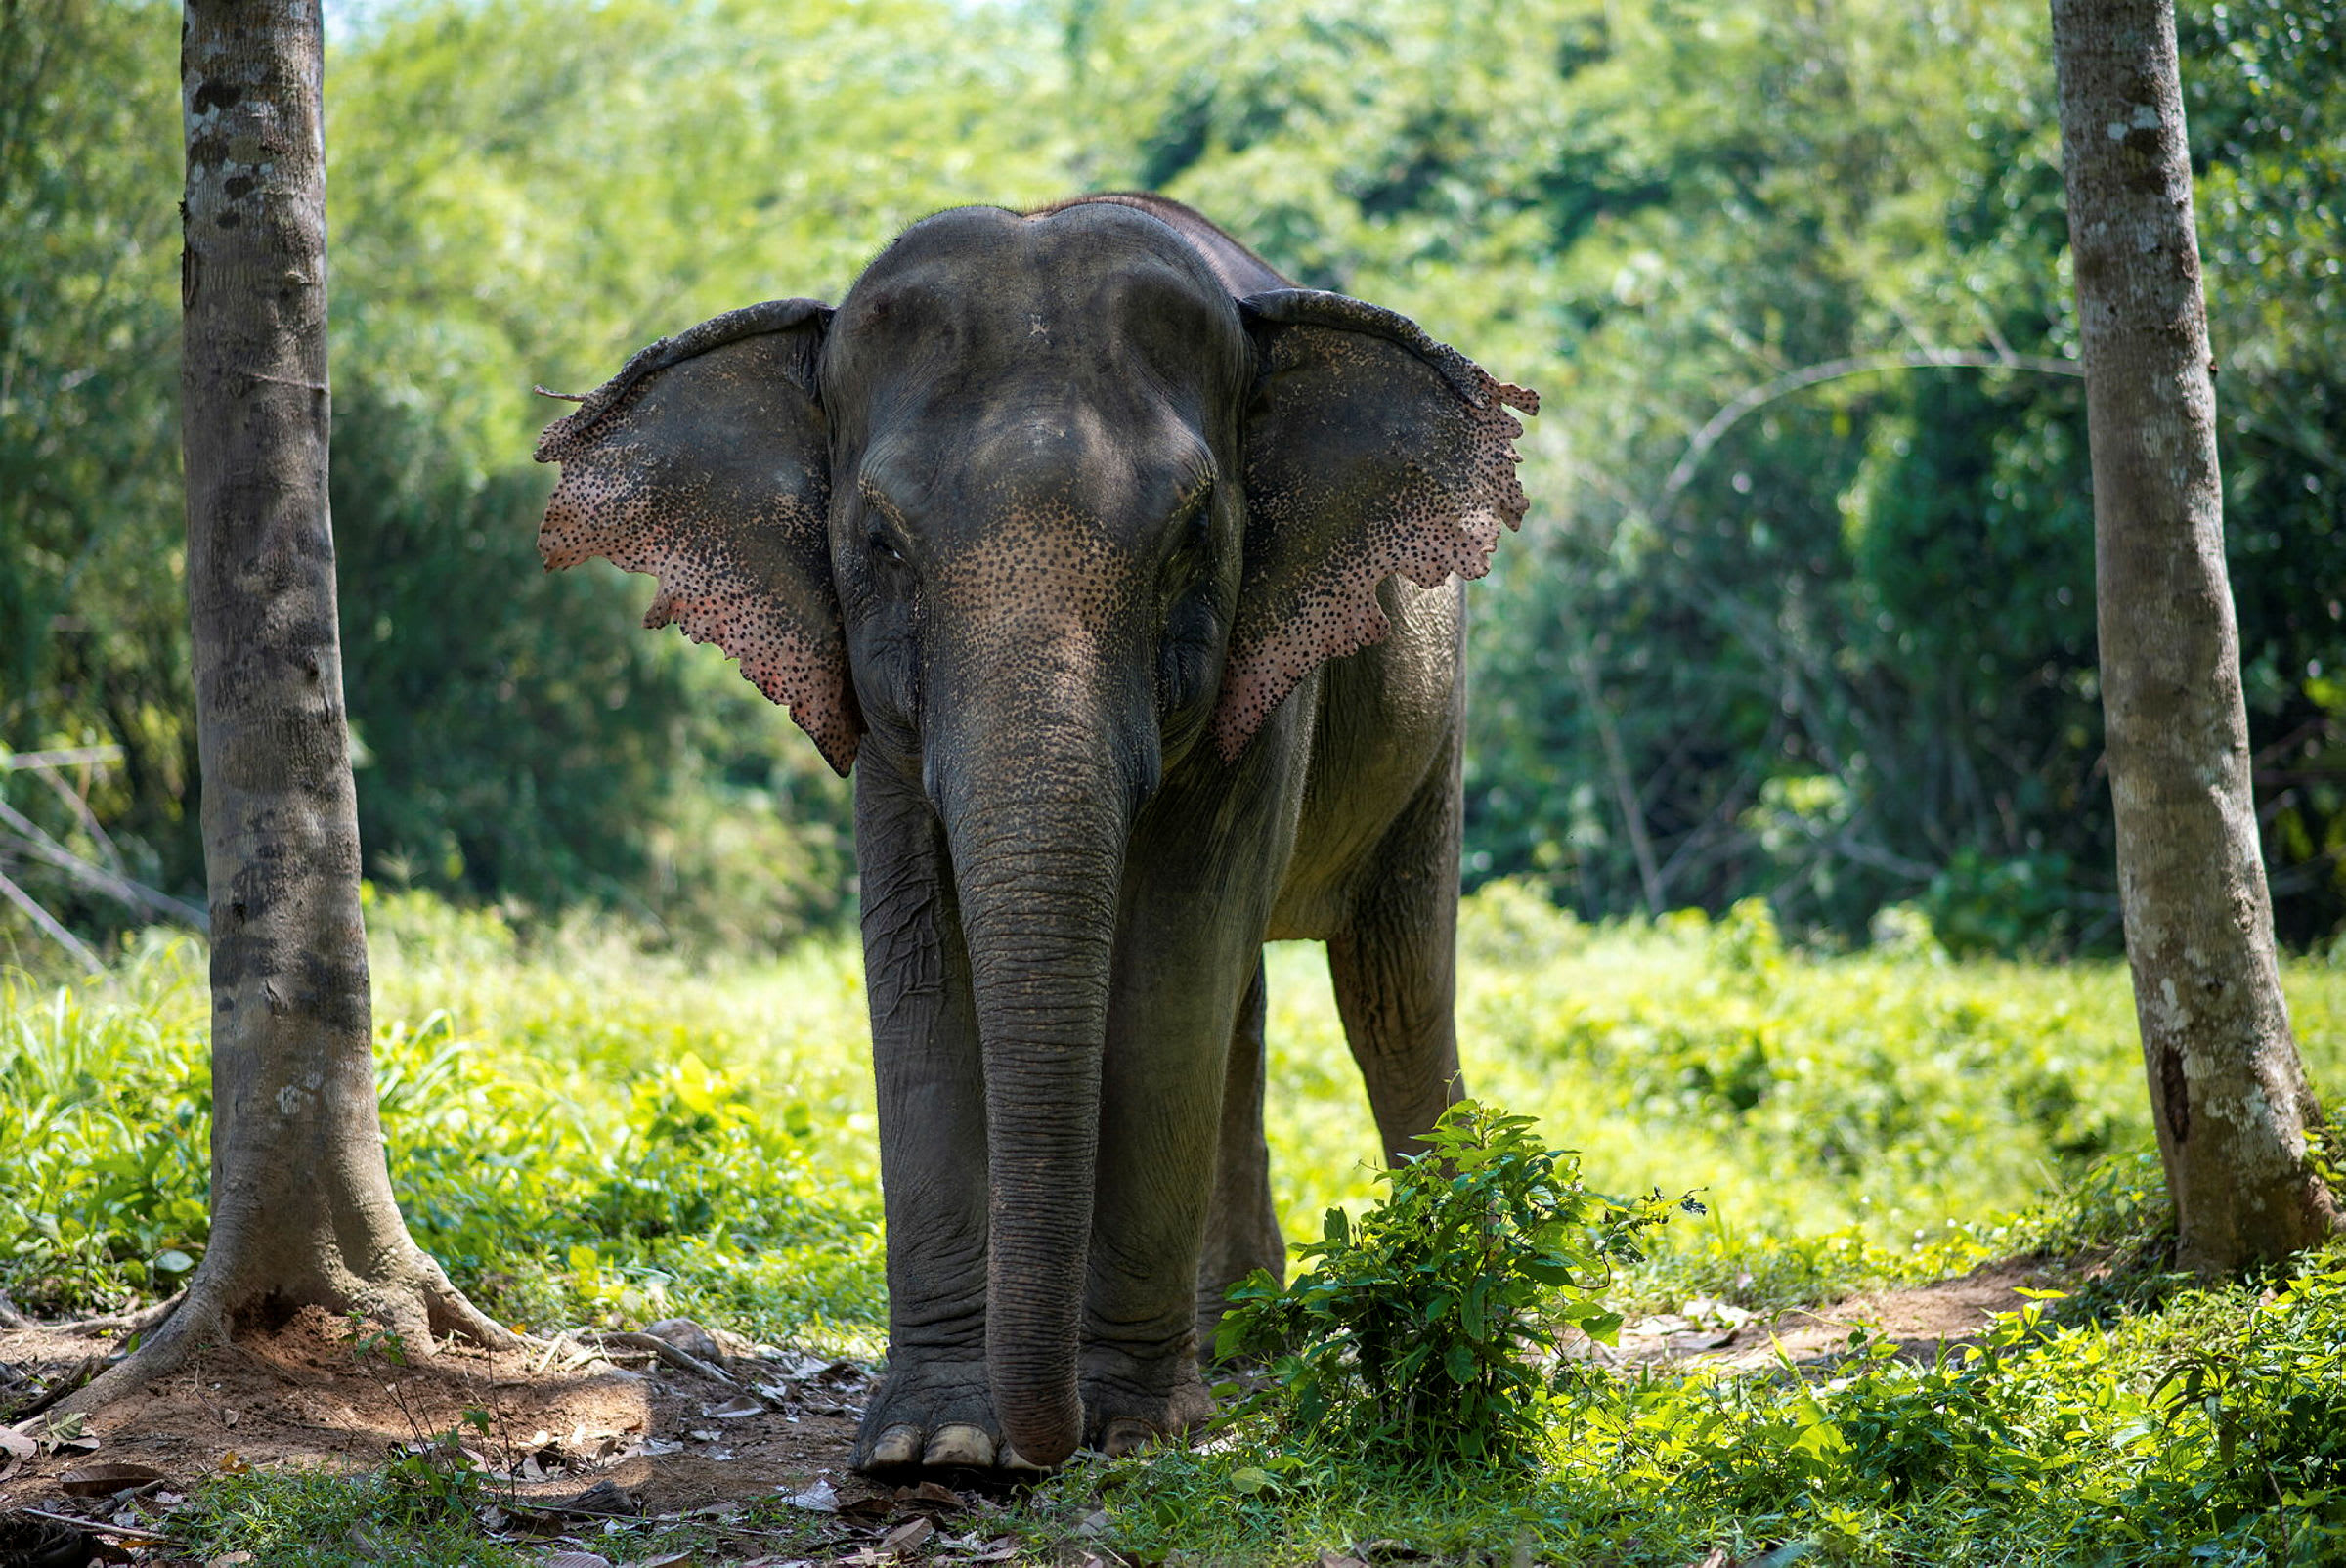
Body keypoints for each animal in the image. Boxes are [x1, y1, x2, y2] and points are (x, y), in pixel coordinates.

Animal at [532, 192, 1535, 1475]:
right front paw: (938, 1447)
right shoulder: (881, 723)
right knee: (1253, 1007)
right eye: (882, 545)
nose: (1038, 1442)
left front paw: (1127, 1425)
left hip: (1434, 718)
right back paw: (1243, 1332)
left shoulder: (1262, 668)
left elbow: (1167, 970)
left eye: (1191, 538)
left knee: (1393, 992)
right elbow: (921, 964)